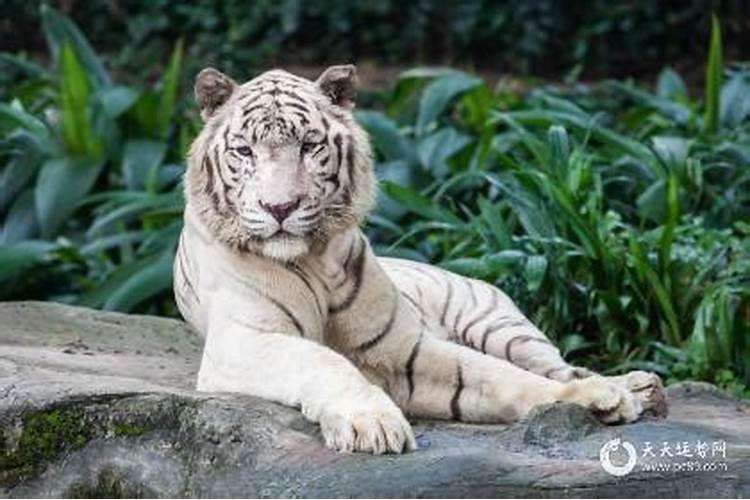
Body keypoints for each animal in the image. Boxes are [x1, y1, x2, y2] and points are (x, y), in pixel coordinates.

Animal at [173, 64, 668, 456]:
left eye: (311, 146)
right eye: (244, 151)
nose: (280, 208)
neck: (313, 259)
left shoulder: (401, 348)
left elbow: (497, 376)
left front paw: (594, 396)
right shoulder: (245, 341)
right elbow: (324, 362)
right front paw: (372, 423)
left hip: (503, 326)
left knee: (553, 361)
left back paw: (636, 386)